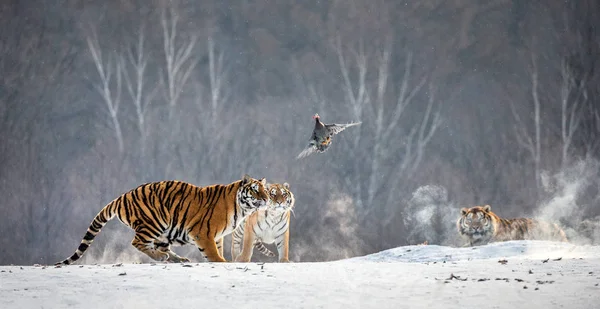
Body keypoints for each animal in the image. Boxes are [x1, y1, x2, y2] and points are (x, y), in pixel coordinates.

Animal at [55, 174, 270, 264]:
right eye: (255, 190)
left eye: (265, 190)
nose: (266, 199)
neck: (241, 208)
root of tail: (121, 197)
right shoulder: (204, 233)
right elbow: (212, 253)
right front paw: (221, 262)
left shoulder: (216, 236)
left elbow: (216, 249)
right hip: (153, 223)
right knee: (137, 242)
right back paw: (161, 258)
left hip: (164, 232)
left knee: (160, 246)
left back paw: (176, 258)